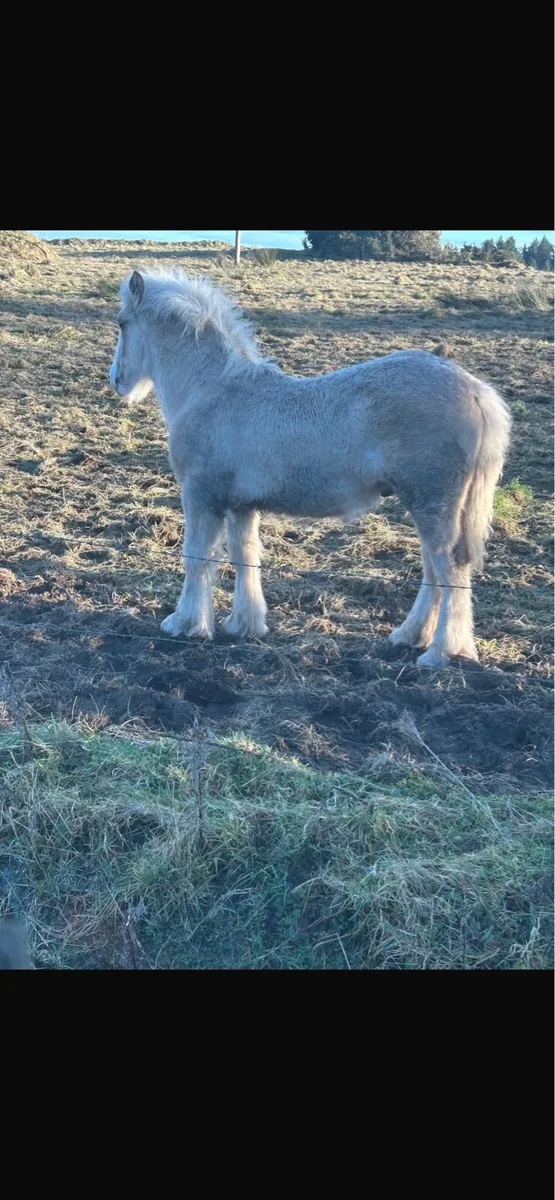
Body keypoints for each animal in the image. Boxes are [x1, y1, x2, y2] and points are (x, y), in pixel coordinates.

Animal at [109, 269, 510, 668]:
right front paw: (244, 624)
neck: (213, 390)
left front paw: (185, 623)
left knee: (448, 570)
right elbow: (245, 557)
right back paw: (409, 636)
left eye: (122, 322)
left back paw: (440, 652)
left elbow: (197, 557)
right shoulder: (241, 506)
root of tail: (475, 390)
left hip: (432, 504)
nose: (116, 380)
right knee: (432, 571)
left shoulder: (201, 496)